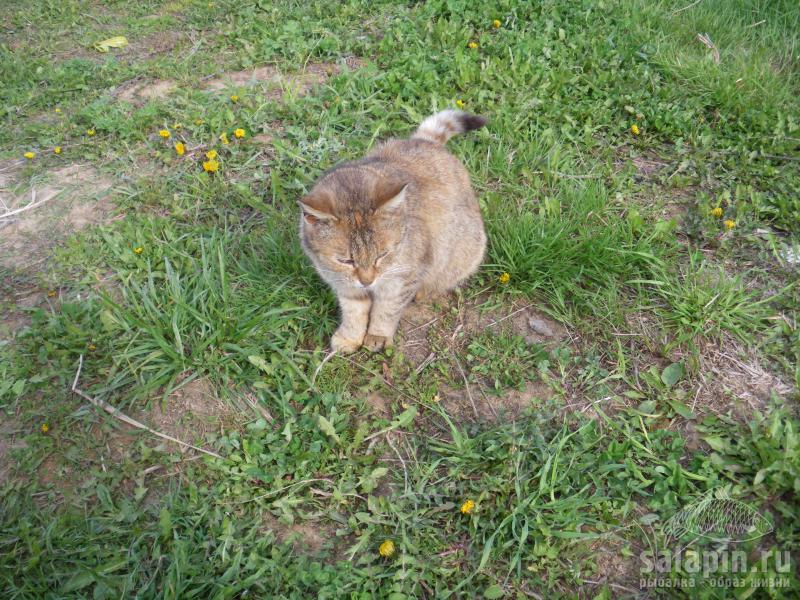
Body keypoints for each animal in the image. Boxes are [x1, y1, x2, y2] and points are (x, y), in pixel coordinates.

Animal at [300, 110, 488, 354]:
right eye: (346, 261)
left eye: (382, 255)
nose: (367, 282)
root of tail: (426, 141)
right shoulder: (343, 284)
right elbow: (353, 311)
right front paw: (350, 337)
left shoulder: (402, 279)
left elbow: (386, 310)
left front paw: (377, 335)